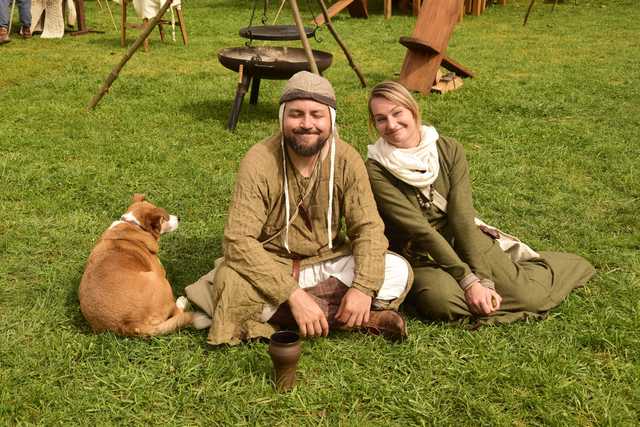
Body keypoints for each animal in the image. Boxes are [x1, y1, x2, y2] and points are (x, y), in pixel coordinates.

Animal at [78, 194, 208, 338]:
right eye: (163, 219)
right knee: (177, 313)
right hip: (161, 281)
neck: (134, 225)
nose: (179, 218)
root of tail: (130, 325)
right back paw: (182, 301)